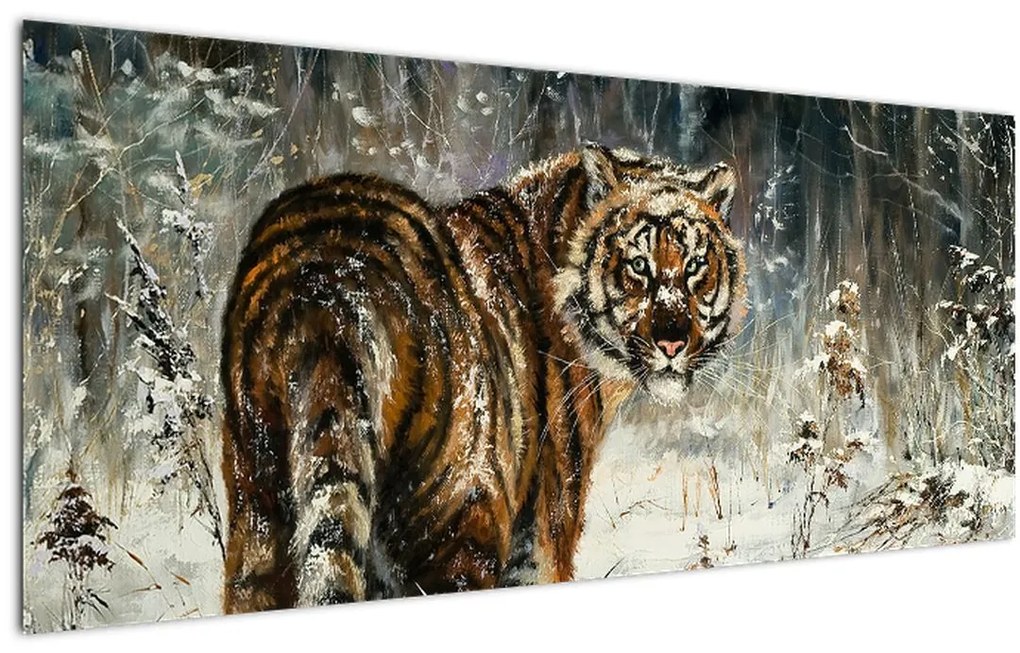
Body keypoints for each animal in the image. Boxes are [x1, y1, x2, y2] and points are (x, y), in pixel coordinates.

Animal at [220, 143, 746, 612]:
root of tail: (327, 269)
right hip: (461, 512)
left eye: (695, 266)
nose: (672, 342)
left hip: (258, 505)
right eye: (639, 265)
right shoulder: (546, 523)